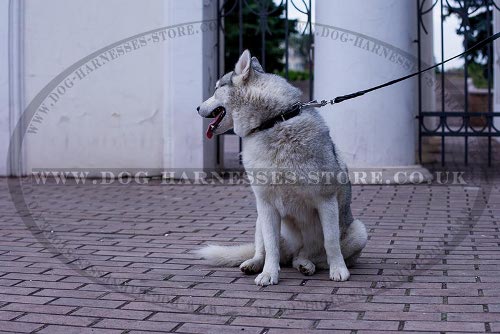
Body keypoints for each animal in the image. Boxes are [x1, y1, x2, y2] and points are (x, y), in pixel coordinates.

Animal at [196, 50, 368, 288]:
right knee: (266, 251)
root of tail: (293, 252)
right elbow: (271, 247)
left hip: (359, 231)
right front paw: (269, 274)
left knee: (311, 256)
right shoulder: (266, 205)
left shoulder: (326, 200)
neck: (273, 122)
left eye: (215, 89)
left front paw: (339, 270)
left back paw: (306, 264)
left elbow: (331, 242)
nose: (196, 108)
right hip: (259, 220)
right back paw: (255, 264)